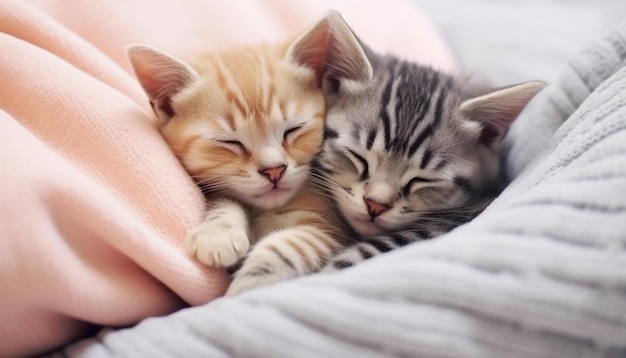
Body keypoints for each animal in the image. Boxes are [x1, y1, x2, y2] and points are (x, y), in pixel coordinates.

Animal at [127, 12, 368, 296]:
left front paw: (248, 284)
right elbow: (224, 198)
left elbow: (289, 247)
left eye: (293, 130)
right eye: (230, 142)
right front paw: (218, 231)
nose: (274, 171)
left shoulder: (330, 231)